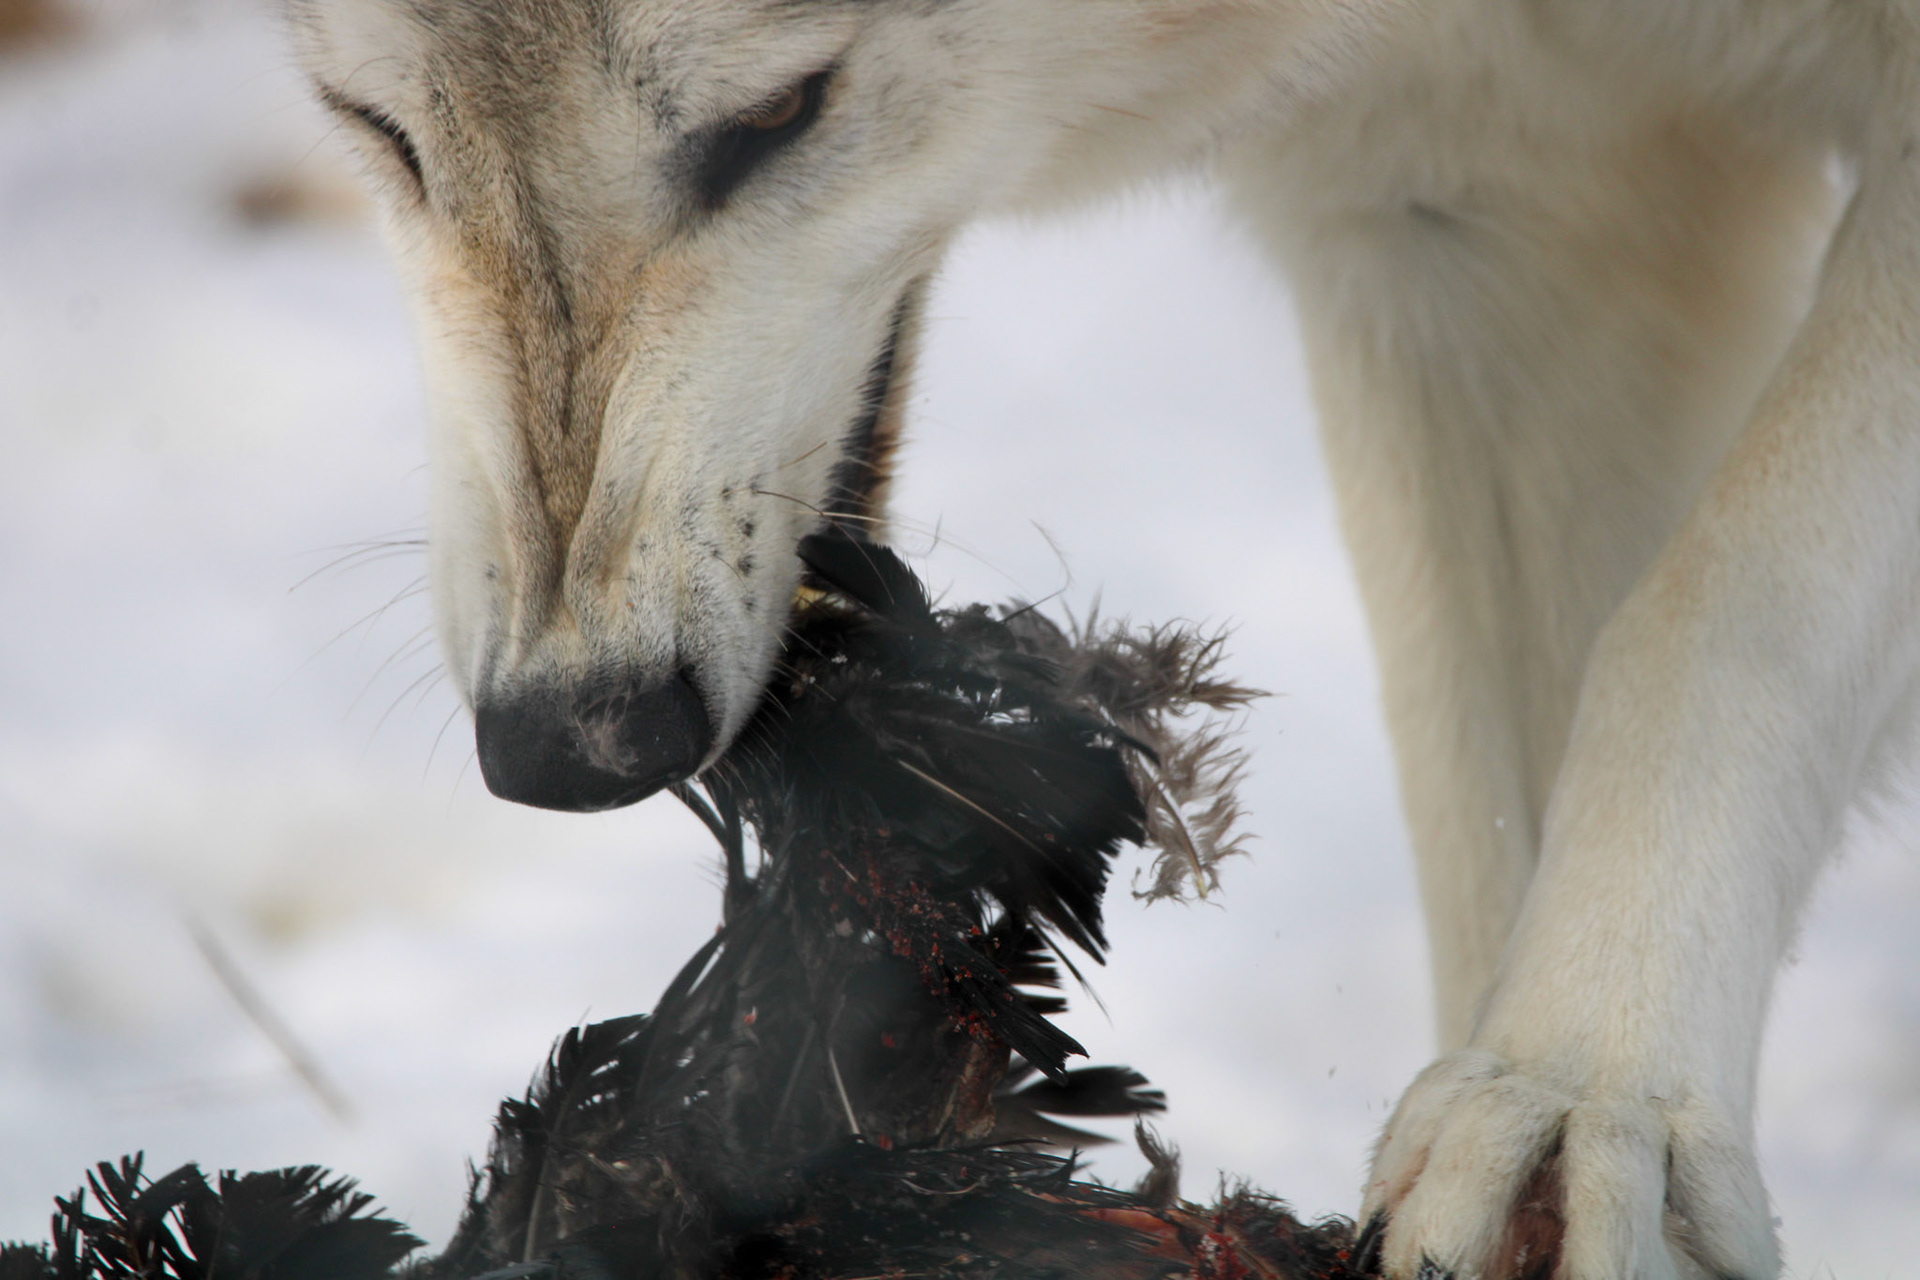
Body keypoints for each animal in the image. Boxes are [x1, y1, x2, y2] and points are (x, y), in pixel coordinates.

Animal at [289, 1, 1920, 1276]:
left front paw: (1582, 1084)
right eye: (379, 131)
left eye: (778, 115)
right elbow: (1501, 814)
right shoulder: (1463, 210)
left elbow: (1723, 606)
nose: (570, 739)